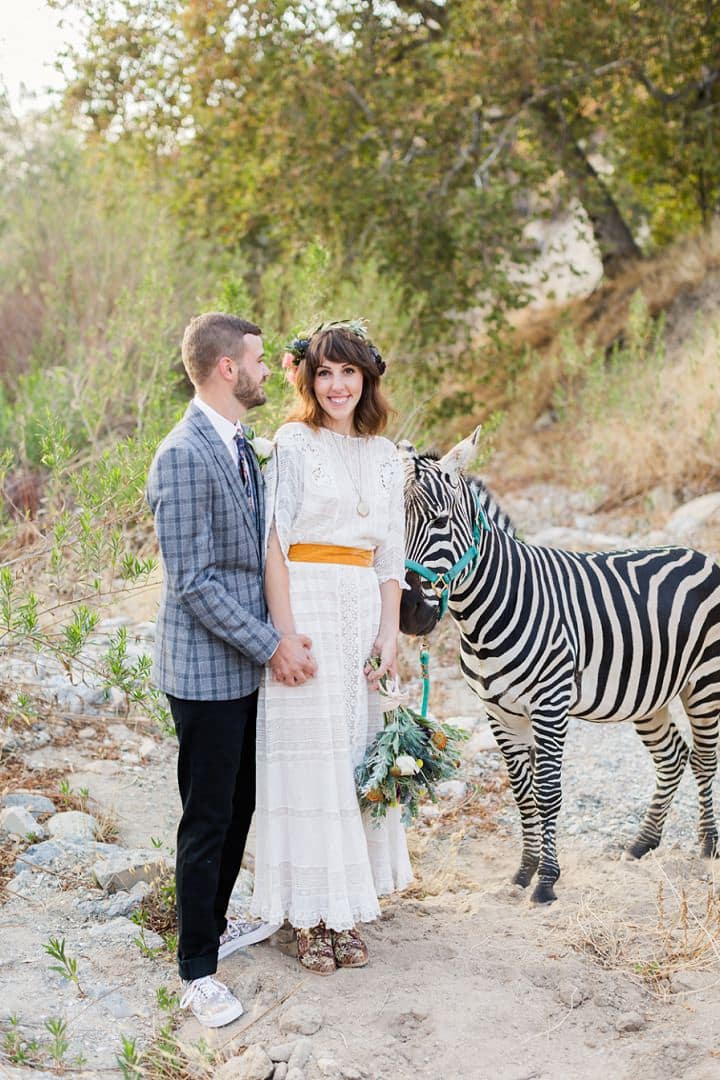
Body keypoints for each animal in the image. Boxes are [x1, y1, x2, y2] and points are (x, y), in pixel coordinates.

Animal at [397, 427, 720, 902]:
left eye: (439, 521)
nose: (408, 613)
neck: (490, 610)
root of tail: (699, 554)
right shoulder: (498, 712)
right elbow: (523, 795)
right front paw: (523, 871)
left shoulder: (549, 705)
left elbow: (548, 793)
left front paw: (547, 881)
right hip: (649, 694)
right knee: (673, 756)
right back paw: (642, 843)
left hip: (704, 682)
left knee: (705, 757)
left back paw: (708, 845)